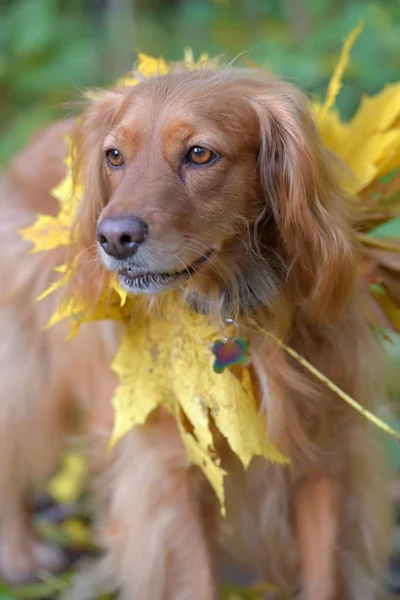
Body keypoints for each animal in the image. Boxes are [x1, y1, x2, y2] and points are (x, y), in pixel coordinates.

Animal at [0, 63, 394, 596]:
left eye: (199, 153)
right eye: (114, 156)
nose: (113, 238)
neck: (229, 308)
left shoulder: (325, 459)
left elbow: (326, 577)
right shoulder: (175, 473)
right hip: (27, 378)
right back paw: (19, 551)